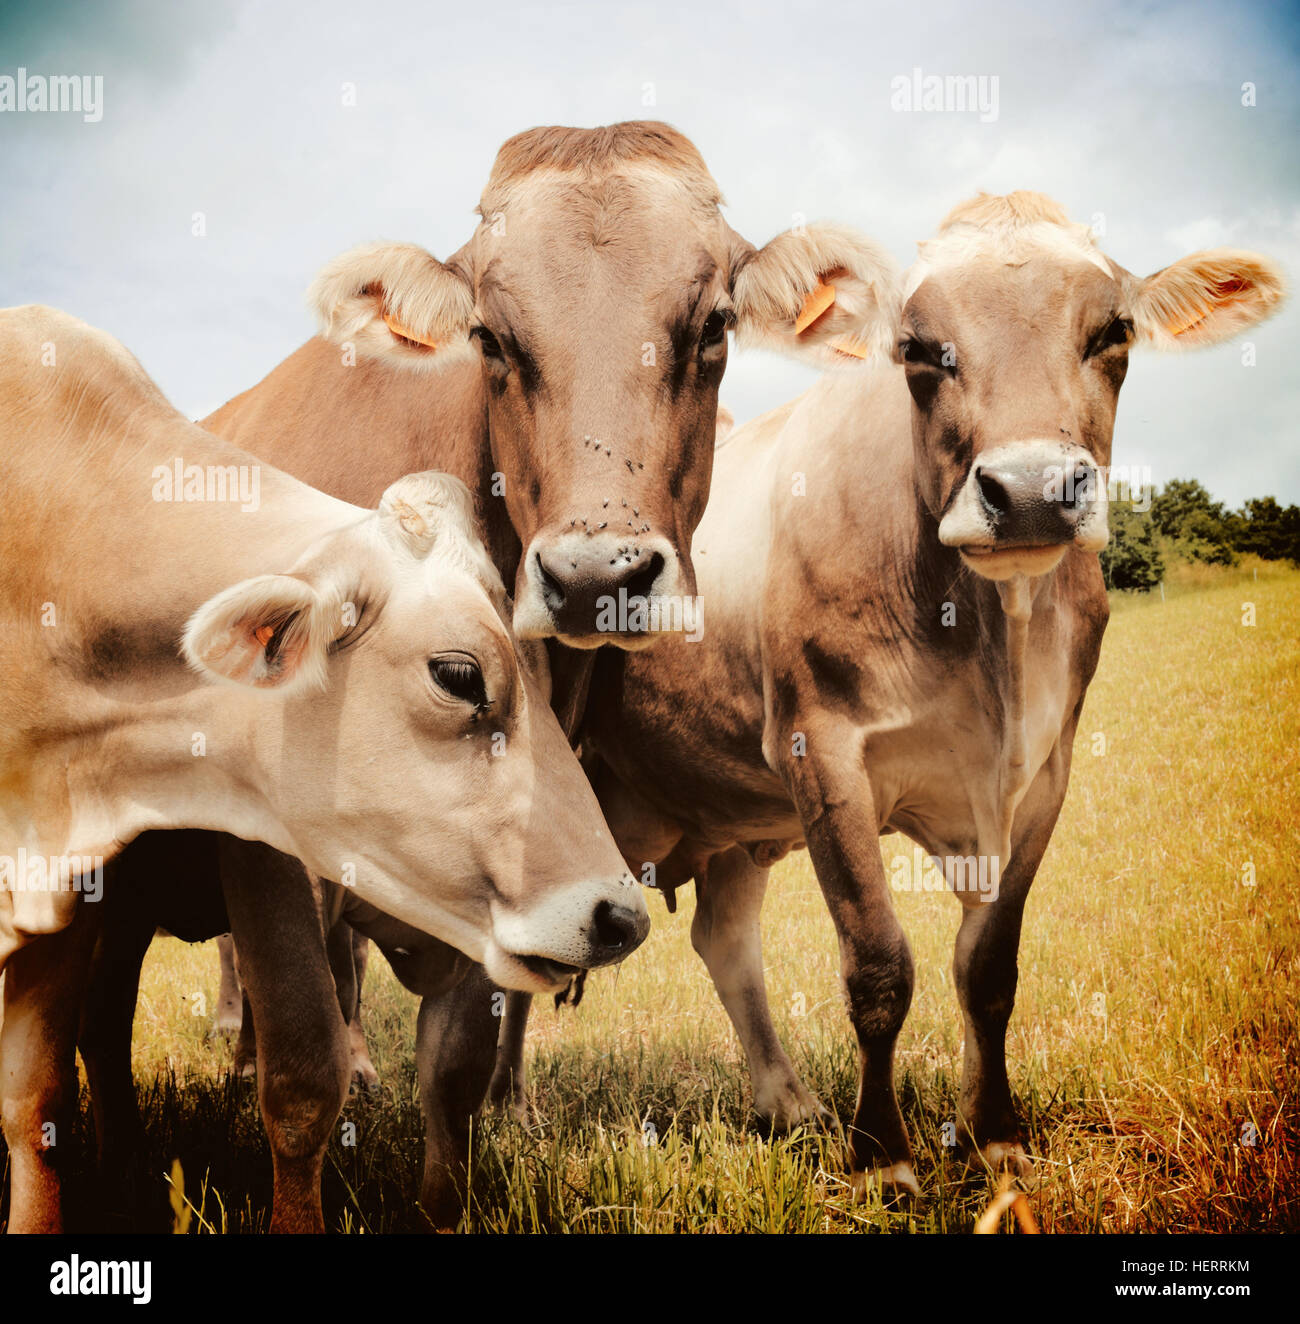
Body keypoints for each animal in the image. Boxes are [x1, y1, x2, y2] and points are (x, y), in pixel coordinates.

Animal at [76, 124, 900, 1228]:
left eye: (713, 326)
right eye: (493, 338)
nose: (597, 577)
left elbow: (456, 1066)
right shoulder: (269, 860)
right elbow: (300, 1066)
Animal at [497, 193, 1281, 1202]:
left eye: (1112, 332)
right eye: (917, 348)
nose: (1032, 491)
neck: (993, 640)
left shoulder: (1045, 775)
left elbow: (988, 969)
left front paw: (994, 1137)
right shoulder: (822, 752)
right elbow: (878, 968)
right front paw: (883, 1156)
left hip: (728, 813)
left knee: (725, 941)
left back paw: (786, 1105)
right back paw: (508, 1112)